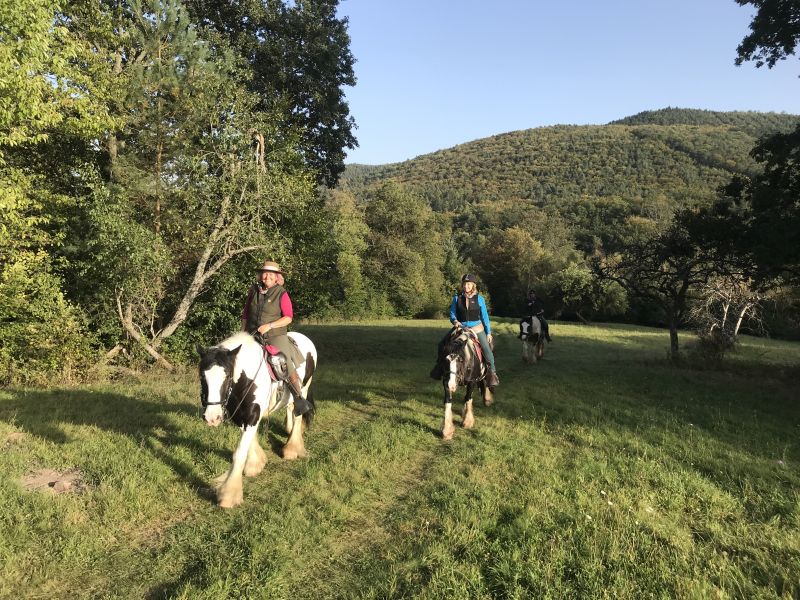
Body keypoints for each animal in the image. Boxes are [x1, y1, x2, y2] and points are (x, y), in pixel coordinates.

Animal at [197, 330, 316, 508]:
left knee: (298, 414)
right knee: (290, 408)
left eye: (227, 375)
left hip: (305, 388)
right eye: (202, 376)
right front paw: (255, 464)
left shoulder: (253, 414)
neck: (247, 379)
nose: (212, 418)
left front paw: (229, 495)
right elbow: (249, 441)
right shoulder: (240, 414)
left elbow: (239, 452)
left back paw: (292, 449)